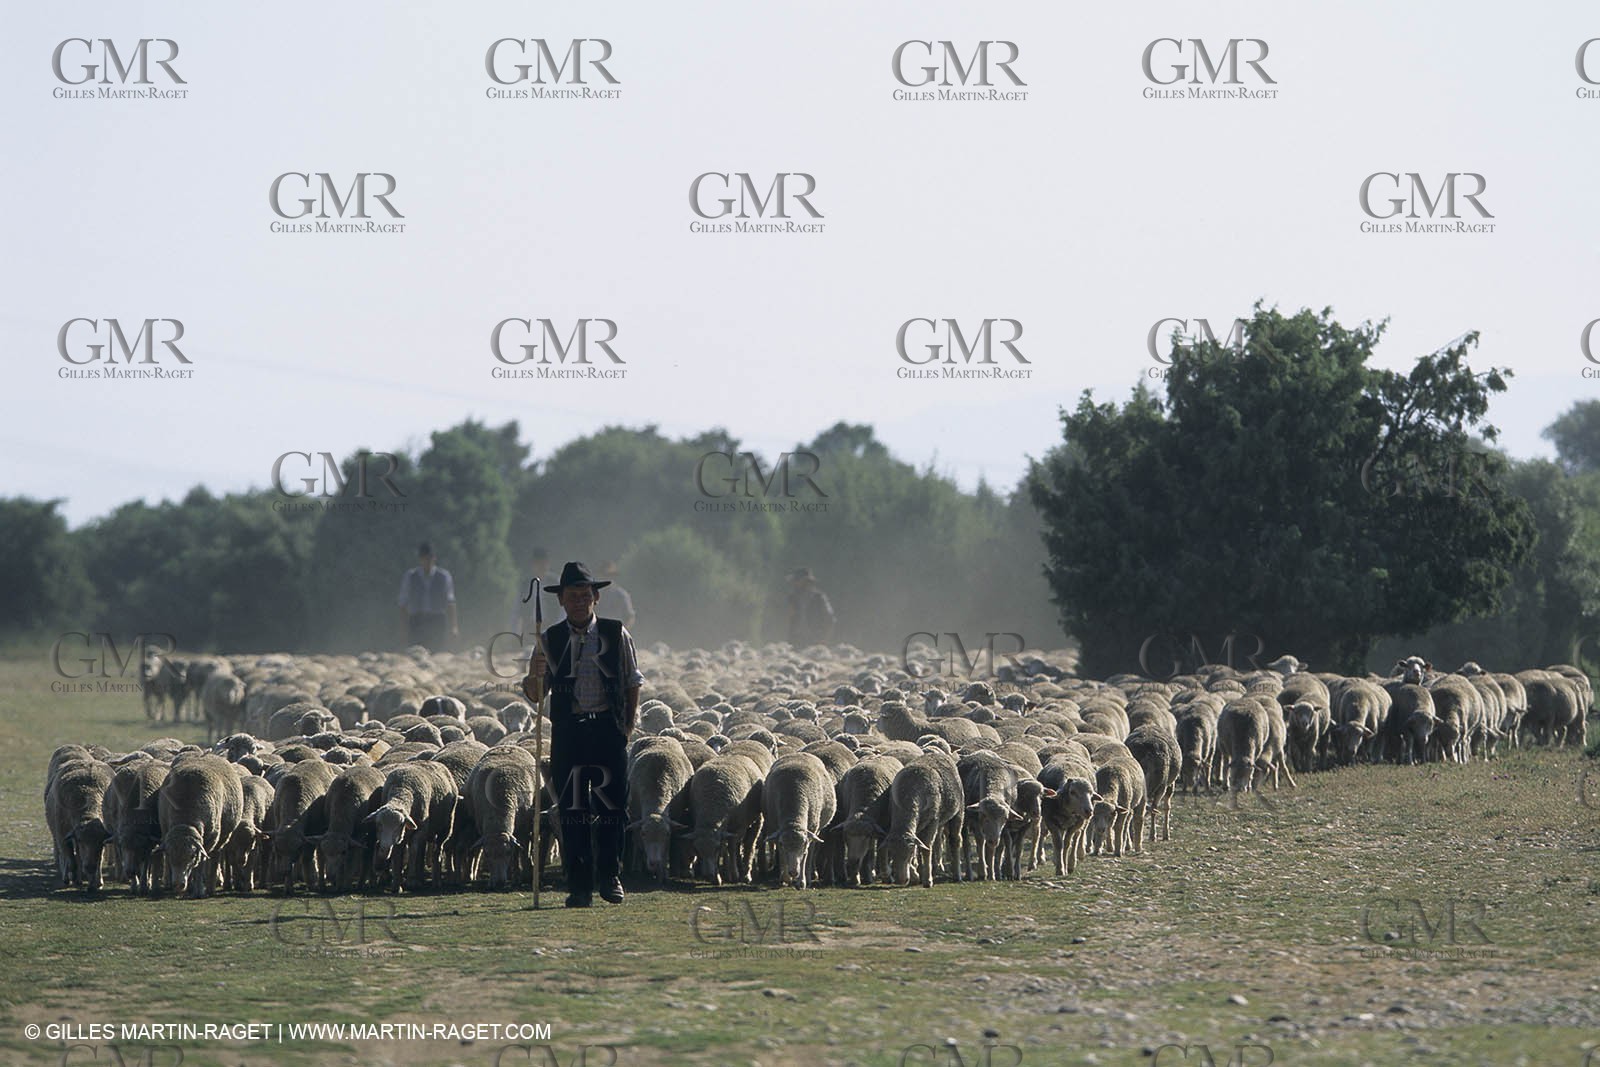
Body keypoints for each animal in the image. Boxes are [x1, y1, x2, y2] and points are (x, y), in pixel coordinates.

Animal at [157, 754, 245, 897]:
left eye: (191, 856)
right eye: (169, 855)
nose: (178, 885)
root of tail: (209, 754)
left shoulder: (208, 841)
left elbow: (199, 866)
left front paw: (198, 890)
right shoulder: (166, 830)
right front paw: (190, 887)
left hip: (222, 837)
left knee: (215, 857)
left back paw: (211, 886)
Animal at [687, 753, 766, 886]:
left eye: (715, 849)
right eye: (697, 850)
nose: (708, 875)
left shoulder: (736, 827)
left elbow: (731, 848)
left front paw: (733, 874)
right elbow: (726, 848)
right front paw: (718, 877)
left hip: (756, 820)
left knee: (749, 845)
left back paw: (745, 874)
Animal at [761, 753, 837, 888]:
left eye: (803, 844)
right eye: (782, 844)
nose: (793, 872)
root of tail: (798, 753)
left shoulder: (810, 832)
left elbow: (806, 855)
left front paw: (802, 881)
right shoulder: (777, 828)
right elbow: (781, 853)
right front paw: (785, 878)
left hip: (816, 829)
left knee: (811, 852)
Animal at [883, 752, 964, 888]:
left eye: (908, 854)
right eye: (891, 853)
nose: (901, 881)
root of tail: (937, 754)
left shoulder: (932, 822)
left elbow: (925, 849)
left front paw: (927, 880)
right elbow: (919, 847)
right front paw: (917, 875)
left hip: (958, 812)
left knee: (955, 840)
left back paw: (957, 875)